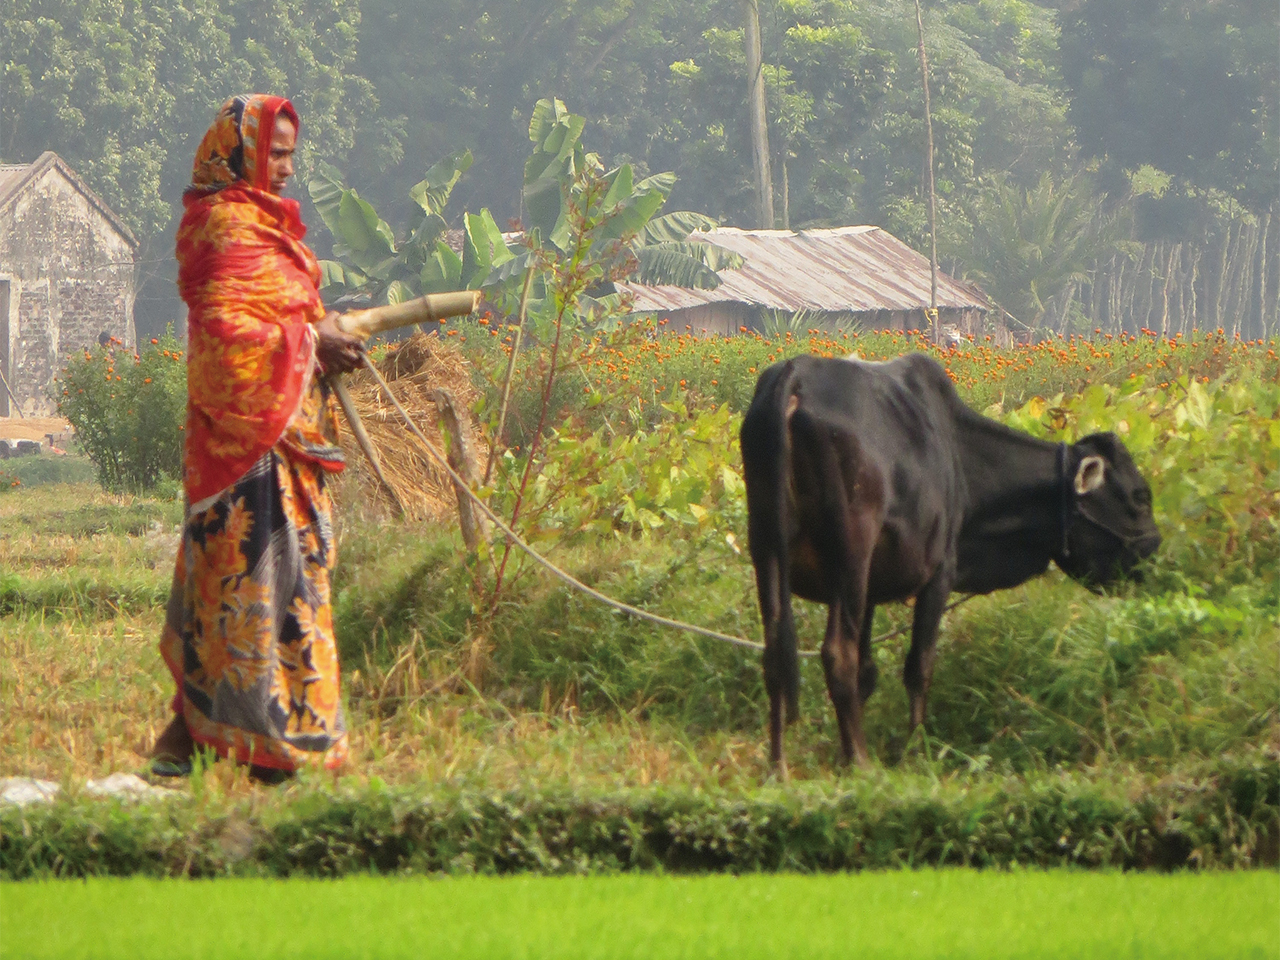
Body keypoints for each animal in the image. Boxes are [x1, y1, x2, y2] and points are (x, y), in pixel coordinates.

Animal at [737, 353, 1167, 773]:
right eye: (1140, 496)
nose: (1155, 554)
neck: (961, 455)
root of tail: (795, 375)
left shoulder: (872, 589)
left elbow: (868, 671)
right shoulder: (939, 573)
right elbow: (919, 667)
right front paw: (915, 750)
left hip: (768, 552)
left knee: (775, 654)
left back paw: (778, 765)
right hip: (850, 554)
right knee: (837, 653)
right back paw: (860, 762)